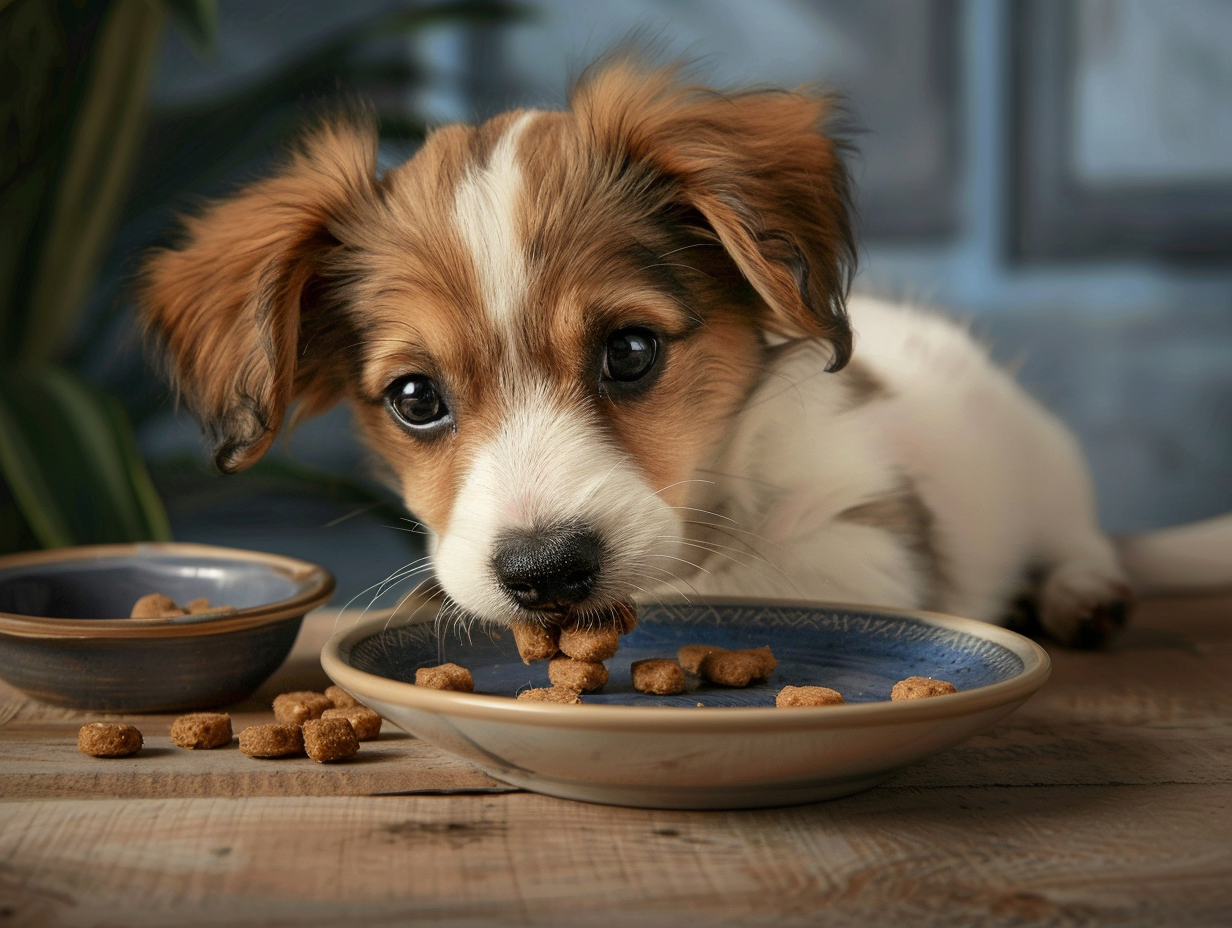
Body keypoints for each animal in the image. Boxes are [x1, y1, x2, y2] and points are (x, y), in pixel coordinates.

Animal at [141, 61, 1232, 645]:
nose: (542, 573)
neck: (714, 508)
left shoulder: (868, 543)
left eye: (628, 351)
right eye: (416, 398)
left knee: (1083, 542)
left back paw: (1080, 590)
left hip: (1047, 469)